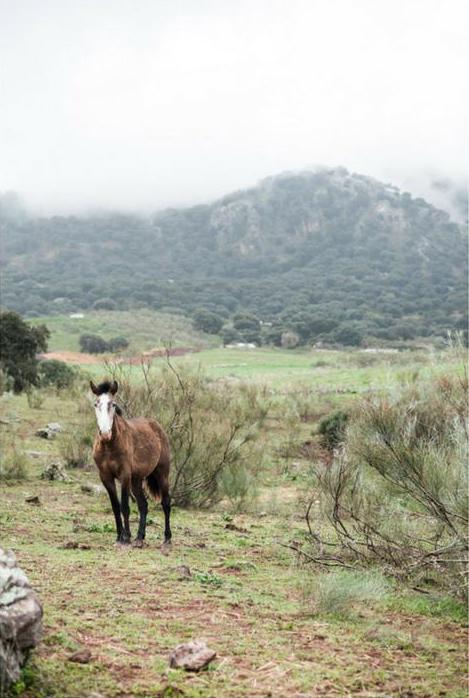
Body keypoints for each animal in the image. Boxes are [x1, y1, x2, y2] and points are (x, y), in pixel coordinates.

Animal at [88, 380, 171, 544]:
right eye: (96, 404)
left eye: (113, 404)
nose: (105, 433)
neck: (109, 445)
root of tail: (157, 426)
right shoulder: (106, 477)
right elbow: (115, 507)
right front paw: (119, 536)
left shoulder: (124, 475)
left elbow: (125, 507)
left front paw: (126, 537)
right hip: (136, 481)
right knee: (143, 505)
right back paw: (140, 537)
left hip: (162, 475)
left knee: (166, 503)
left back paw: (167, 538)